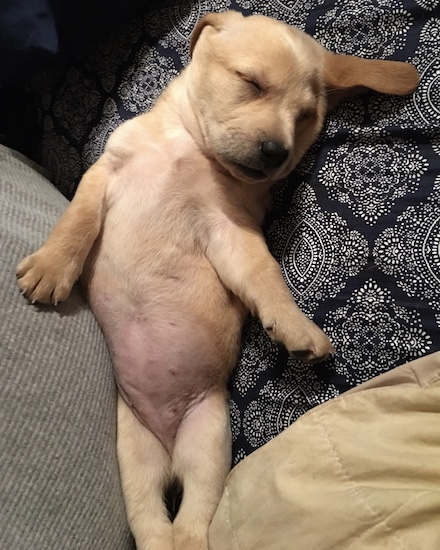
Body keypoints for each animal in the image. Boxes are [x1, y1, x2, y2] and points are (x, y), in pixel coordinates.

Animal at [15, 9, 418, 550]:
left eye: (306, 116)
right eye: (250, 82)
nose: (276, 152)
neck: (190, 148)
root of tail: (167, 442)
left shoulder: (230, 231)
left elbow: (265, 276)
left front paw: (294, 325)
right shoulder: (104, 173)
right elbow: (77, 221)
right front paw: (52, 267)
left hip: (208, 441)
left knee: (192, 515)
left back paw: (187, 538)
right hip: (134, 454)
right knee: (149, 520)